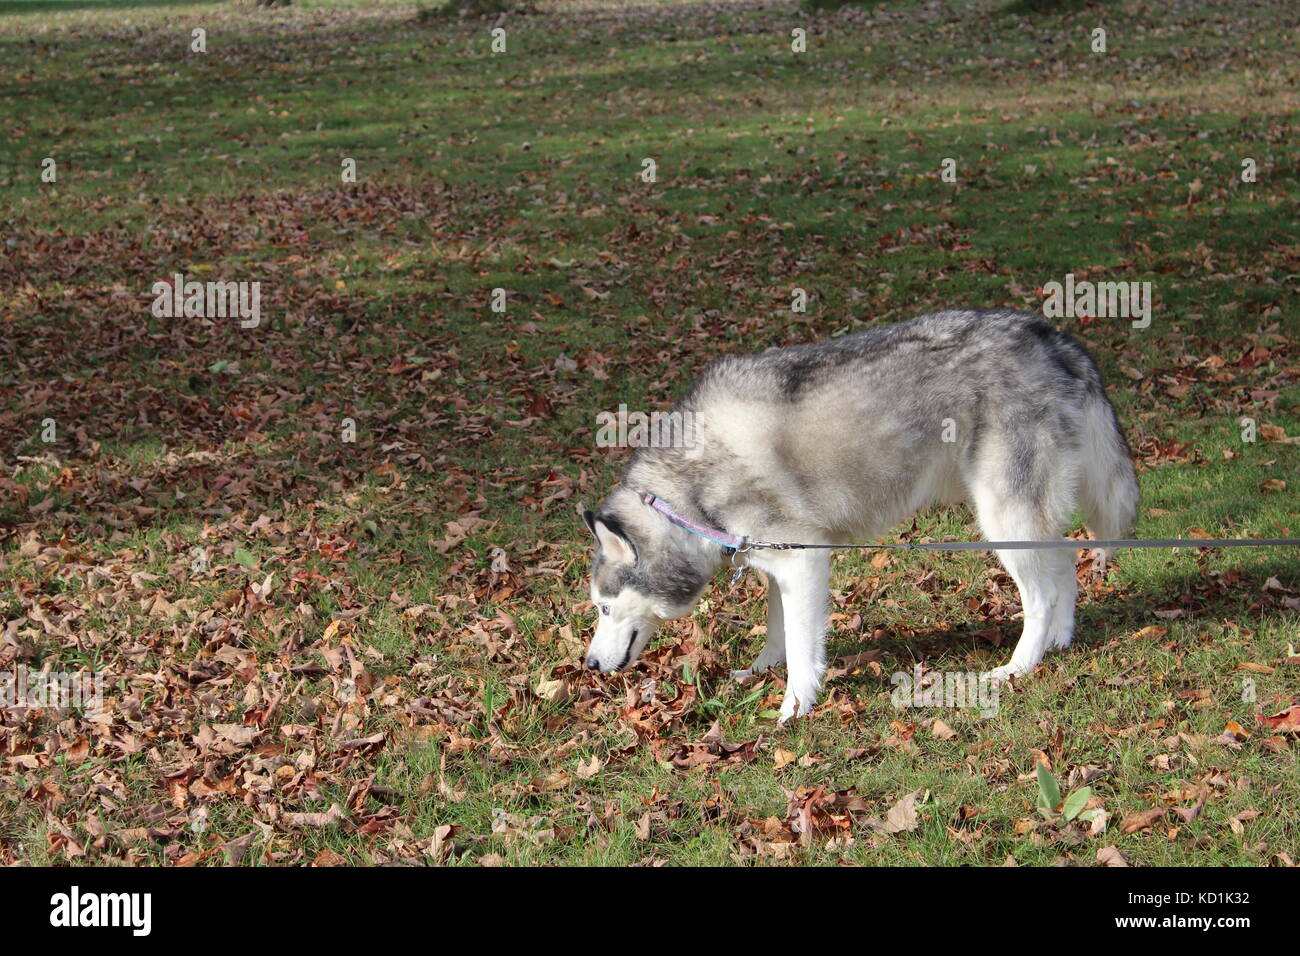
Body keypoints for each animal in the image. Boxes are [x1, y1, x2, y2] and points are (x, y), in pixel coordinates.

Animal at [582, 310, 1138, 723]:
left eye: (604, 609)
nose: (588, 664)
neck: (686, 490)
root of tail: (1052, 336)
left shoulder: (803, 559)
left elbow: (802, 647)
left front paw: (796, 704)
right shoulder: (778, 563)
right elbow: (778, 631)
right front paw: (762, 671)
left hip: (1004, 521)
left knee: (1040, 595)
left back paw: (1019, 666)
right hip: (1029, 519)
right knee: (1065, 567)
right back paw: (1059, 641)